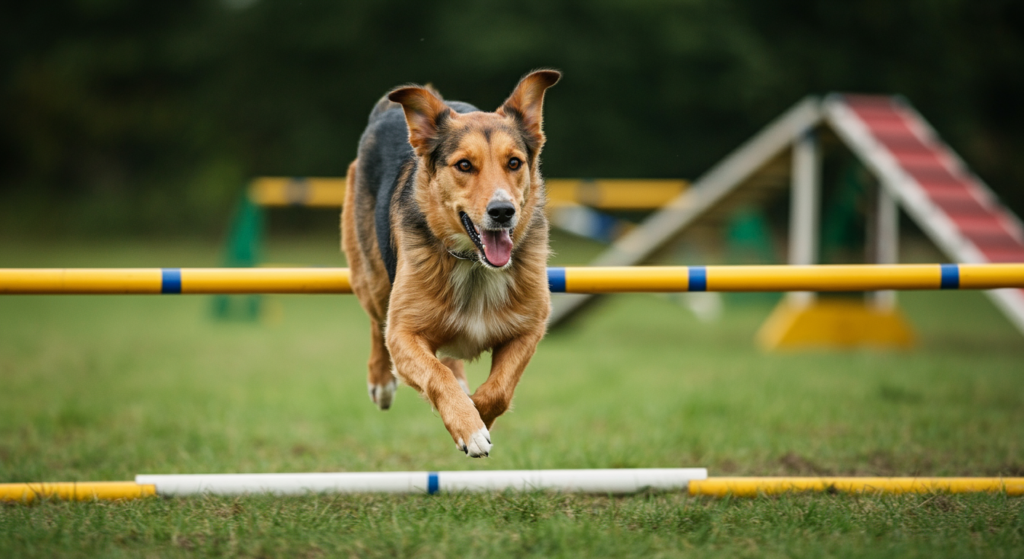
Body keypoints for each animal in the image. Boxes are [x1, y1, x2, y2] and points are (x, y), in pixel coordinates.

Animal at [342, 69, 561, 454]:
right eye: (464, 165)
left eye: (514, 163)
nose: (502, 211)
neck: (474, 265)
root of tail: (388, 110)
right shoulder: (403, 332)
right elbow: (434, 373)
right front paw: (469, 427)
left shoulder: (529, 328)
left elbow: (499, 389)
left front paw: (476, 415)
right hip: (371, 277)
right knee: (376, 321)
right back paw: (382, 382)